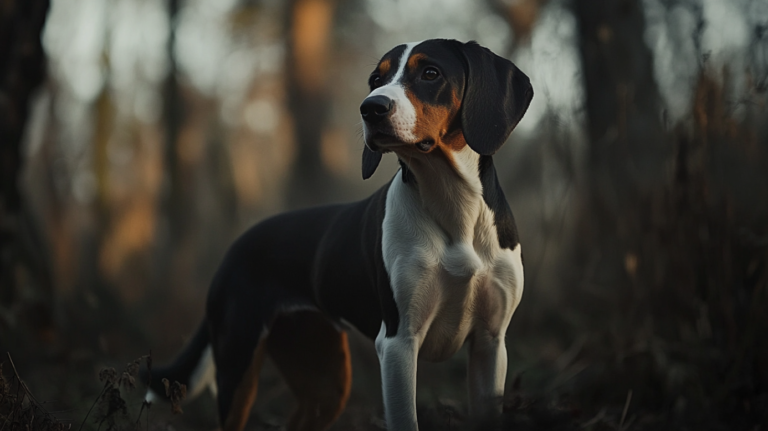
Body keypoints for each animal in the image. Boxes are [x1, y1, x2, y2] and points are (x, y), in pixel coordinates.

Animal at [146, 39, 536, 431]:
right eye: (376, 79)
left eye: (430, 73)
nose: (371, 108)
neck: (453, 206)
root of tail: (235, 246)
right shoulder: (398, 343)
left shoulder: (490, 344)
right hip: (239, 360)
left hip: (323, 377)